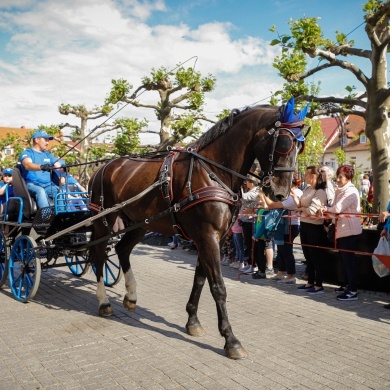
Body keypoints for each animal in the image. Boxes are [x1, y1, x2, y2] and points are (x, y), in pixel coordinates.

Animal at [90, 103, 306, 360]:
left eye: (300, 146)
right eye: (283, 142)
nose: (281, 193)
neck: (212, 171)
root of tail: (104, 166)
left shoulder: (213, 237)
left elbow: (201, 279)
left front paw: (192, 321)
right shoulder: (207, 236)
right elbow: (218, 286)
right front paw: (231, 340)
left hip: (140, 223)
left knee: (122, 250)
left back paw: (131, 297)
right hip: (103, 220)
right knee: (99, 255)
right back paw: (104, 303)